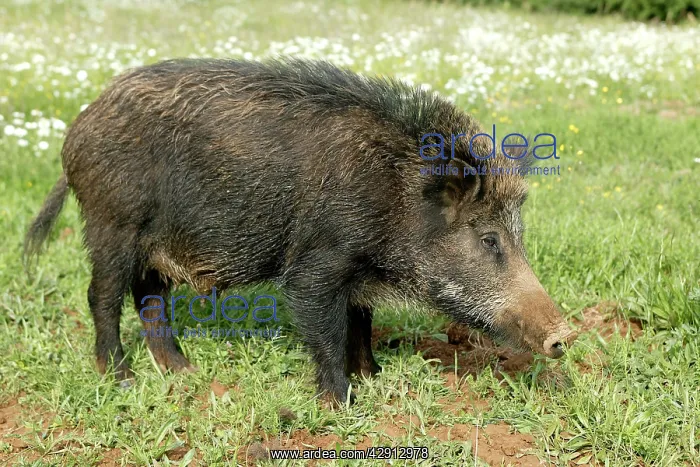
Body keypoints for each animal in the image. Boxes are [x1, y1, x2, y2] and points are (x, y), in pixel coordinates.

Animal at [24, 58, 577, 404]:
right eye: (488, 239)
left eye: (518, 233)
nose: (565, 335)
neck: (395, 197)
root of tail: (76, 130)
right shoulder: (319, 261)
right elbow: (325, 326)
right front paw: (342, 401)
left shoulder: (359, 273)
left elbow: (361, 321)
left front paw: (373, 376)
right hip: (112, 223)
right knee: (102, 295)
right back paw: (122, 379)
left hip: (156, 244)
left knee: (149, 296)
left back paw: (184, 372)